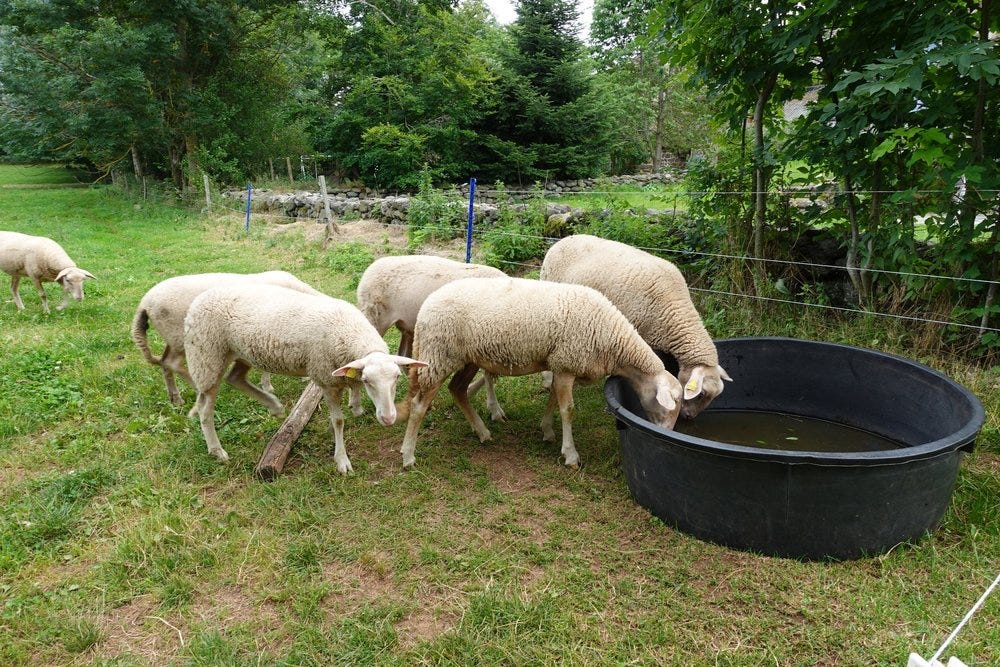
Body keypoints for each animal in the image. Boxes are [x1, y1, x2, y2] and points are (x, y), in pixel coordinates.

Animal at [131, 271, 326, 408]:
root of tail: (144, 304)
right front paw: (268, 386)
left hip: (171, 336)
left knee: (165, 363)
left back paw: (175, 398)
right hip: (181, 336)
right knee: (172, 363)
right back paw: (195, 388)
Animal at [183, 283, 425, 472]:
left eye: (397, 377)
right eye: (368, 381)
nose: (389, 418)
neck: (349, 331)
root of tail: (199, 299)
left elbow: (351, 386)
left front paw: (355, 406)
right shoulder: (325, 379)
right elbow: (338, 421)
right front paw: (342, 460)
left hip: (241, 353)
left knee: (235, 378)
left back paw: (274, 406)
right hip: (208, 356)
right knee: (205, 408)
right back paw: (217, 450)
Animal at [356, 254, 509, 420]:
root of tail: (372, 267)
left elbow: (490, 373)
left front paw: (474, 392)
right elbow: (489, 375)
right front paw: (495, 409)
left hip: (408, 327)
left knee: (403, 356)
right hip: (373, 316)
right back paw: (356, 405)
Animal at [398, 277, 682, 470]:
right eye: (673, 403)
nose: (668, 434)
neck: (612, 339)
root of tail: (427, 305)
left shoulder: (560, 364)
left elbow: (553, 399)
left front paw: (547, 431)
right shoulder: (567, 363)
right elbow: (567, 410)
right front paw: (570, 454)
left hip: (468, 358)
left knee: (457, 390)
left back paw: (482, 432)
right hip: (439, 356)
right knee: (419, 405)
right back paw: (409, 455)